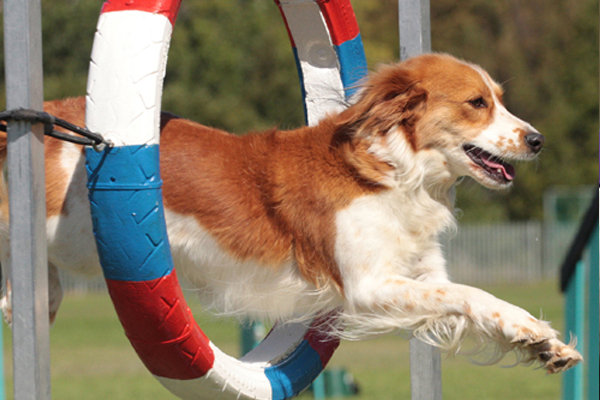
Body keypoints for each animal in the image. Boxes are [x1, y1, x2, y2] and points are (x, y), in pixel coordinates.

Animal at [0, 53, 580, 372]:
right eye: (477, 103)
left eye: (499, 98)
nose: (538, 140)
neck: (395, 171)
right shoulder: (369, 286)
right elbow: (470, 293)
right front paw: (531, 328)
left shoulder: (419, 275)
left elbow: (473, 302)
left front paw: (541, 341)